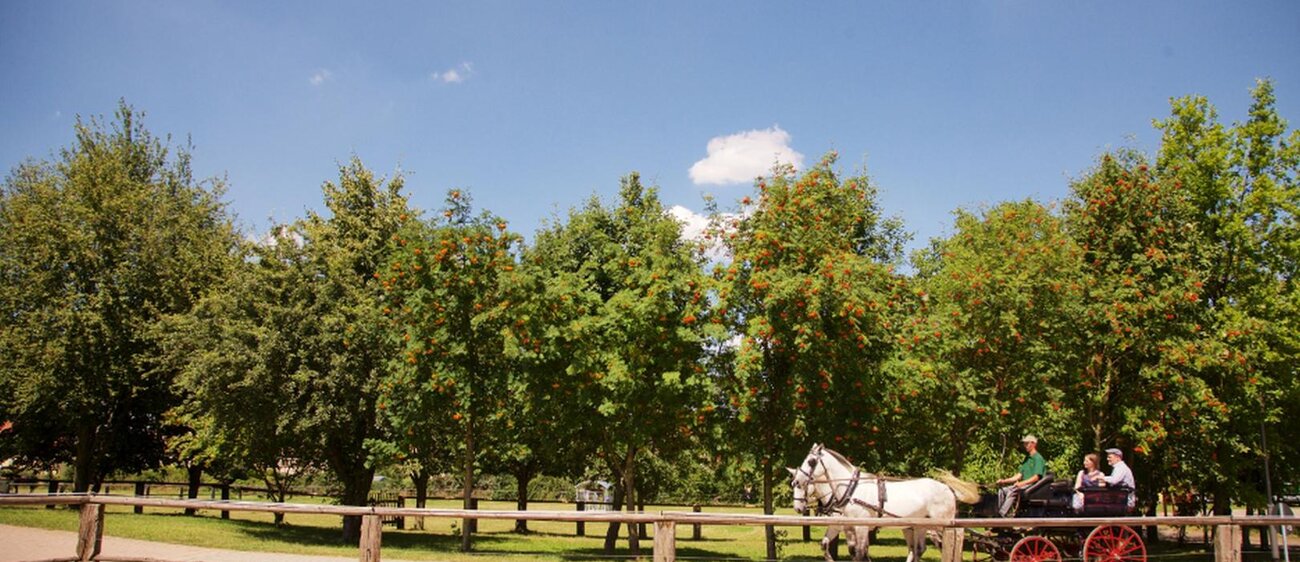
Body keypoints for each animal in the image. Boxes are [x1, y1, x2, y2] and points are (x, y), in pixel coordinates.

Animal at [789, 443, 980, 562]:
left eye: (811, 461)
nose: (797, 481)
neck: (851, 489)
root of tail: (948, 489)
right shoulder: (846, 526)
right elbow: (842, 549)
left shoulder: (861, 526)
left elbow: (860, 553)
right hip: (918, 526)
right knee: (918, 550)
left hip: (941, 525)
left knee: (947, 546)